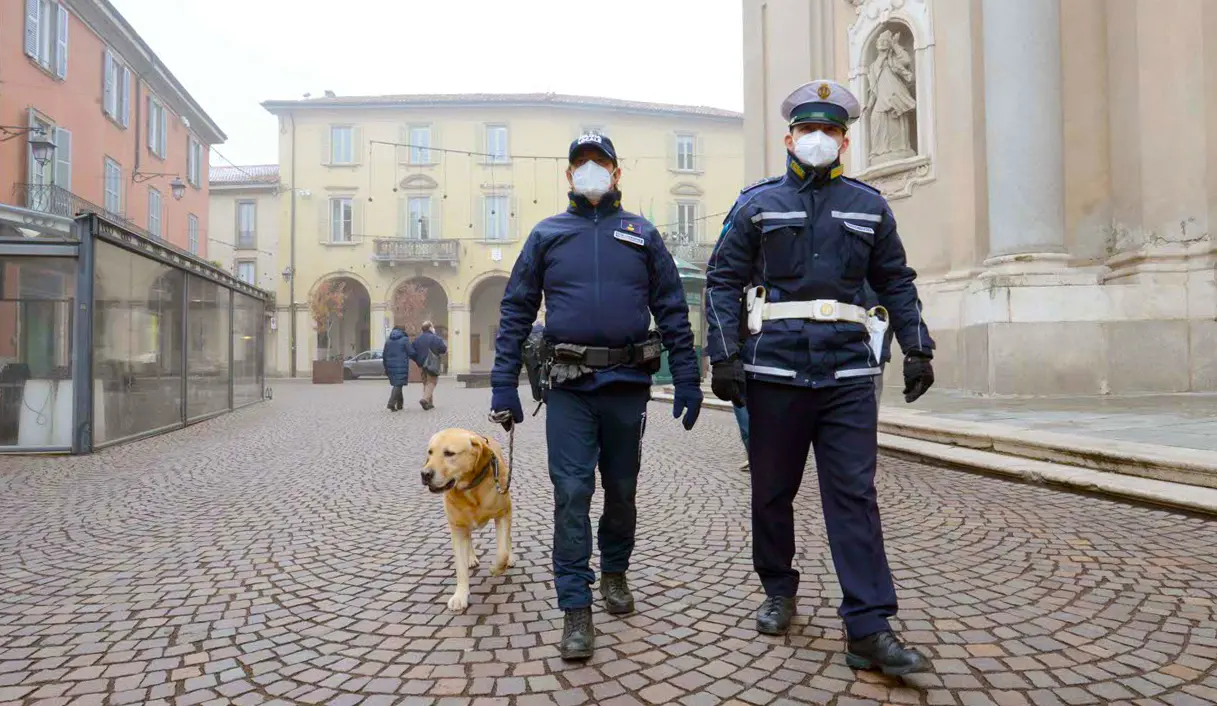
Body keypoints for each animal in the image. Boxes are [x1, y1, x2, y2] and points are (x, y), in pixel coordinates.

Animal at [423, 428, 513, 608]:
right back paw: (471, 557)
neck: (470, 490)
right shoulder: (457, 527)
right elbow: (460, 567)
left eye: (449, 453)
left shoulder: (503, 513)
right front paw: (460, 595)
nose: (425, 474)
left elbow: (502, 552)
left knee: (508, 539)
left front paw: (496, 569)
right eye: (430, 452)